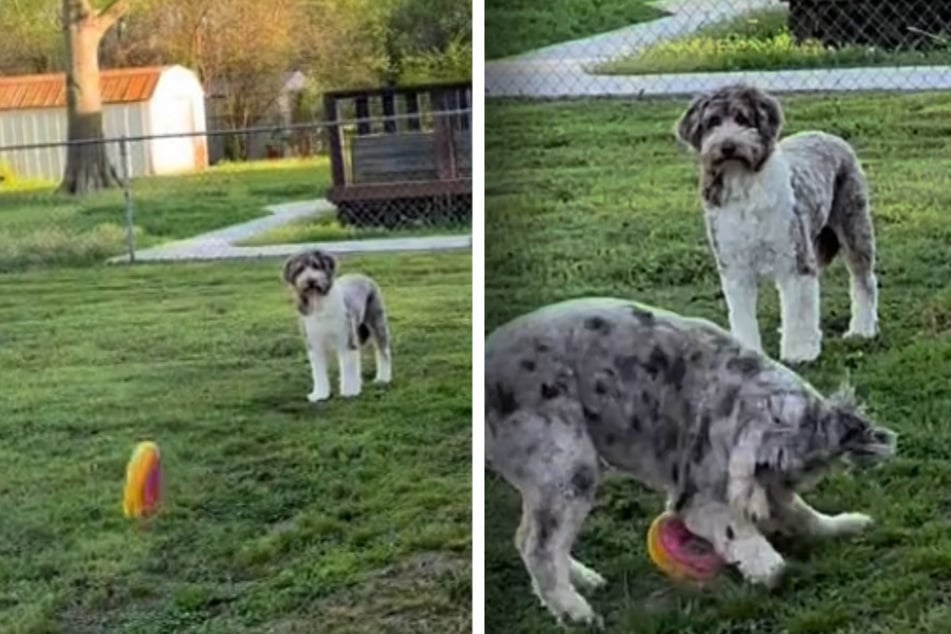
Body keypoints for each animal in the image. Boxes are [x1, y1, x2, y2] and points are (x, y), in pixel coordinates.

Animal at [280, 248, 392, 400]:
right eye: (300, 269)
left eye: (316, 266)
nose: (311, 280)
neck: (319, 303)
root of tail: (362, 276)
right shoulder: (314, 343)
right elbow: (318, 372)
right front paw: (319, 395)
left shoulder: (346, 339)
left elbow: (348, 366)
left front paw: (350, 392)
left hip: (376, 321)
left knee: (383, 351)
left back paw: (382, 378)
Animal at [488, 298, 896, 624]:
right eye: (763, 465)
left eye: (789, 474)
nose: (761, 514)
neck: (734, 403)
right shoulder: (697, 497)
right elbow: (740, 535)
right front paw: (769, 568)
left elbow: (804, 515)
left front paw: (845, 524)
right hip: (567, 465)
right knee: (537, 546)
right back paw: (575, 611)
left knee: (535, 539)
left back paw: (584, 580)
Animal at [672, 83, 880, 360]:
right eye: (713, 122)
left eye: (742, 118)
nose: (727, 145)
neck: (743, 182)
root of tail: (828, 135)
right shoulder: (734, 265)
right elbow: (743, 314)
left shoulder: (794, 258)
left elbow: (799, 309)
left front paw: (799, 352)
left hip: (853, 223)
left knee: (863, 279)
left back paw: (862, 329)